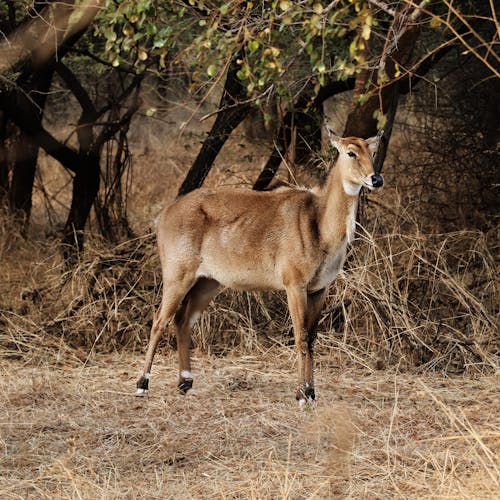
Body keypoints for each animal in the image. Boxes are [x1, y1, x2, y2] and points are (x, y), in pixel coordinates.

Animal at [137, 129, 382, 402]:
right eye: (350, 152)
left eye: (372, 152)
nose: (376, 178)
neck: (320, 223)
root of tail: (162, 215)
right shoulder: (294, 284)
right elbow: (300, 336)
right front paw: (300, 394)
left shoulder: (320, 288)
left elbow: (312, 338)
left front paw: (311, 391)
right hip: (177, 275)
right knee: (159, 320)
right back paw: (143, 383)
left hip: (207, 282)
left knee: (183, 320)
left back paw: (185, 382)